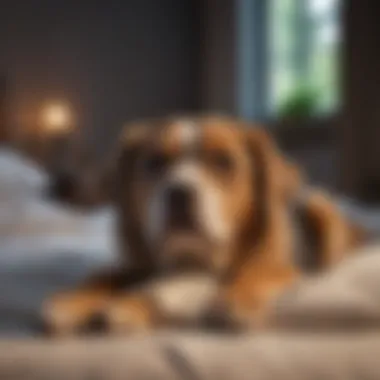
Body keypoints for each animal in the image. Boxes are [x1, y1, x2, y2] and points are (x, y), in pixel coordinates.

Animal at [42, 116, 366, 336]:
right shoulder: (139, 264)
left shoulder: (275, 267)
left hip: (319, 204)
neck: (192, 259)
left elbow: (252, 274)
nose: (179, 193)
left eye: (223, 161)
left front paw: (235, 301)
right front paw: (74, 300)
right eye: (154, 162)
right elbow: (104, 275)